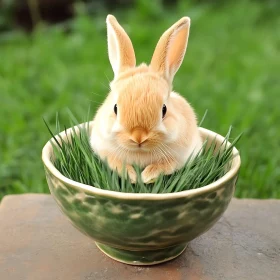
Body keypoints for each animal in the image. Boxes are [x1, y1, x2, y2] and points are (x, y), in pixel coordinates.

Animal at [91, 14, 202, 184]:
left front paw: (147, 176)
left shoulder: (181, 156)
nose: (138, 137)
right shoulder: (103, 148)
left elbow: (167, 164)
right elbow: (115, 161)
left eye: (164, 110)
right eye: (115, 108)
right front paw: (131, 176)